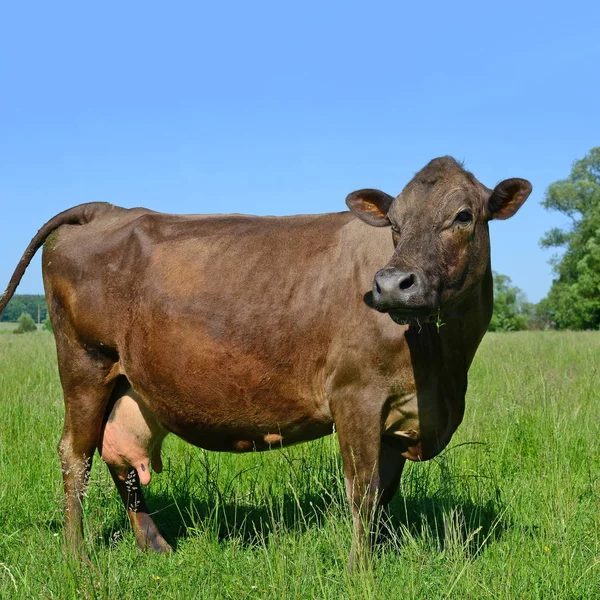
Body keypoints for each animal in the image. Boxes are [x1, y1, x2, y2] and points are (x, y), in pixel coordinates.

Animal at [0, 157, 532, 564]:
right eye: (395, 224)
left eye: (464, 215)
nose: (391, 284)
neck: (445, 369)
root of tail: (107, 209)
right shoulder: (356, 396)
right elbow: (361, 490)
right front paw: (361, 569)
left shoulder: (401, 416)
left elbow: (384, 494)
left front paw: (379, 555)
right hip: (84, 362)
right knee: (76, 454)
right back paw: (78, 557)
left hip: (127, 380)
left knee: (117, 455)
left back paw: (155, 545)